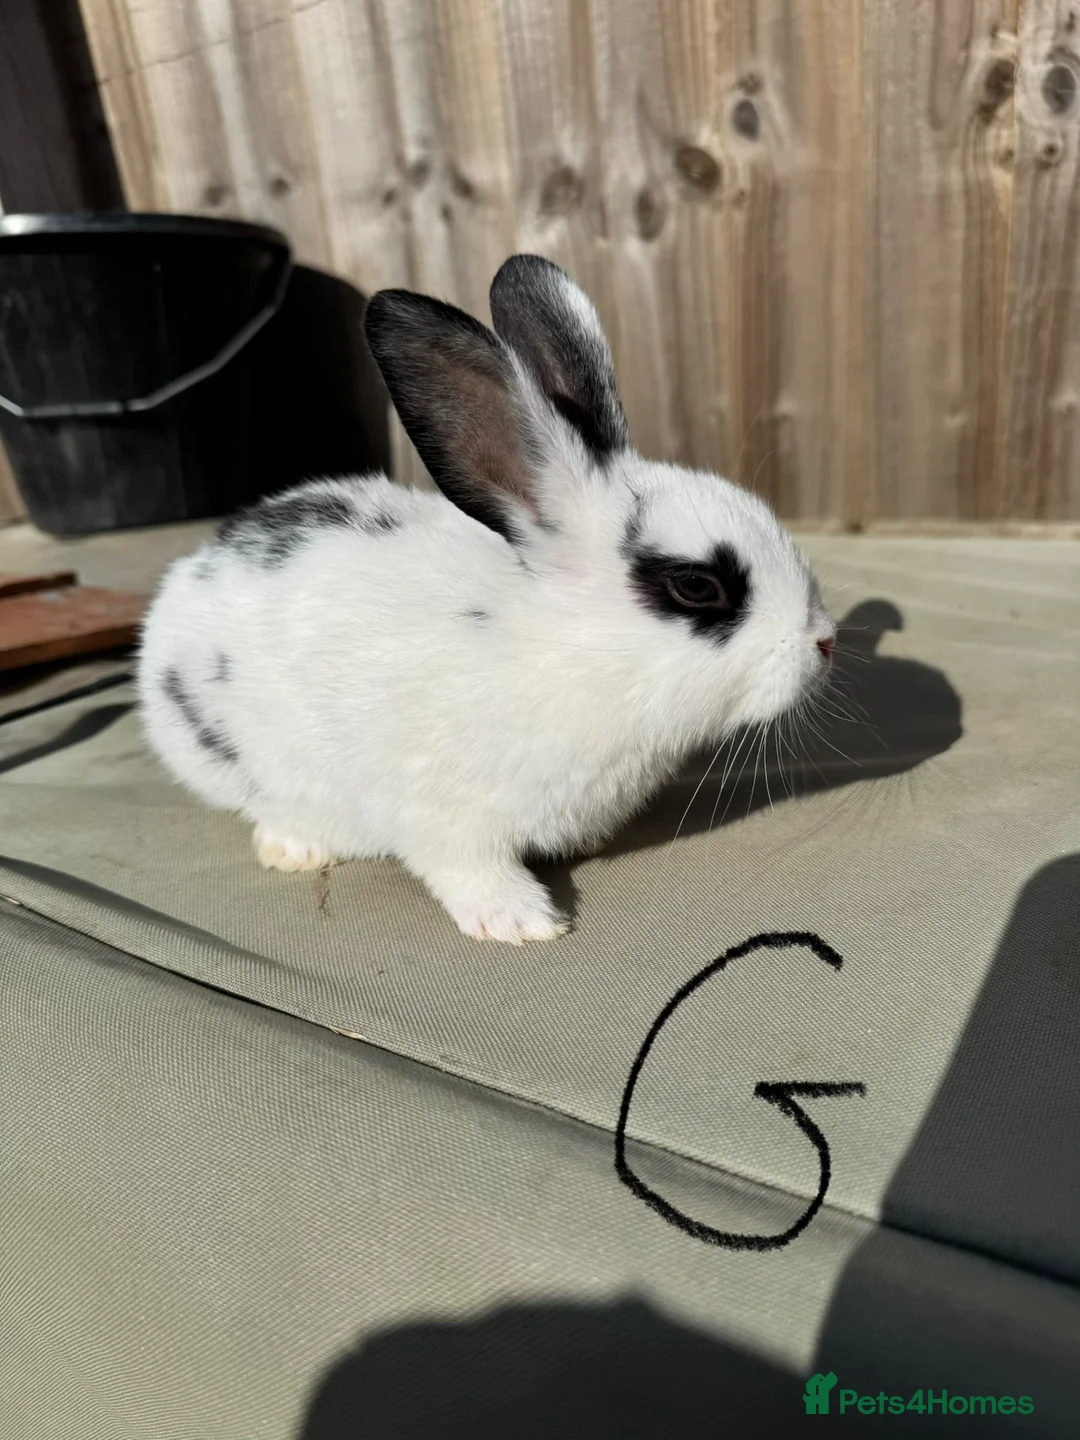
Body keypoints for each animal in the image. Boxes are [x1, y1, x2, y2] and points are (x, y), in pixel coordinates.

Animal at [137, 254, 836, 945]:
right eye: (697, 586)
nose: (825, 641)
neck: (564, 653)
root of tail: (190, 570)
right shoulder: (441, 816)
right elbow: (466, 868)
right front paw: (524, 922)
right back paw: (294, 848)